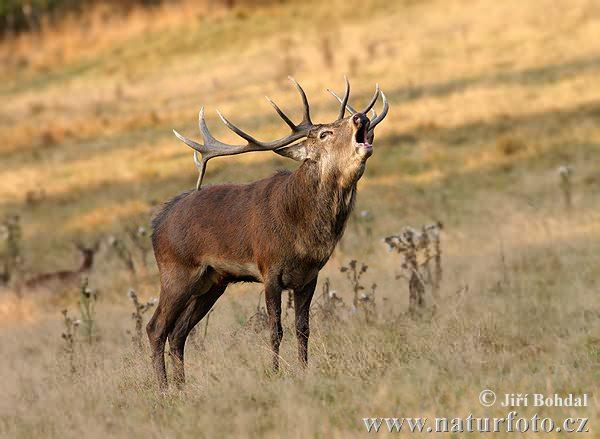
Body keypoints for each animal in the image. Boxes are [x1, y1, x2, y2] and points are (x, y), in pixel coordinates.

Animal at [148, 77, 386, 390]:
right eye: (325, 134)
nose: (361, 117)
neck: (302, 233)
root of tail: (156, 225)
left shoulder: (309, 275)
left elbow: (303, 328)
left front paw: (304, 371)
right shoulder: (269, 269)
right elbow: (275, 329)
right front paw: (274, 372)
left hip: (212, 281)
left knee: (178, 332)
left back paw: (182, 386)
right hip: (176, 270)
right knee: (156, 328)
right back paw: (164, 389)